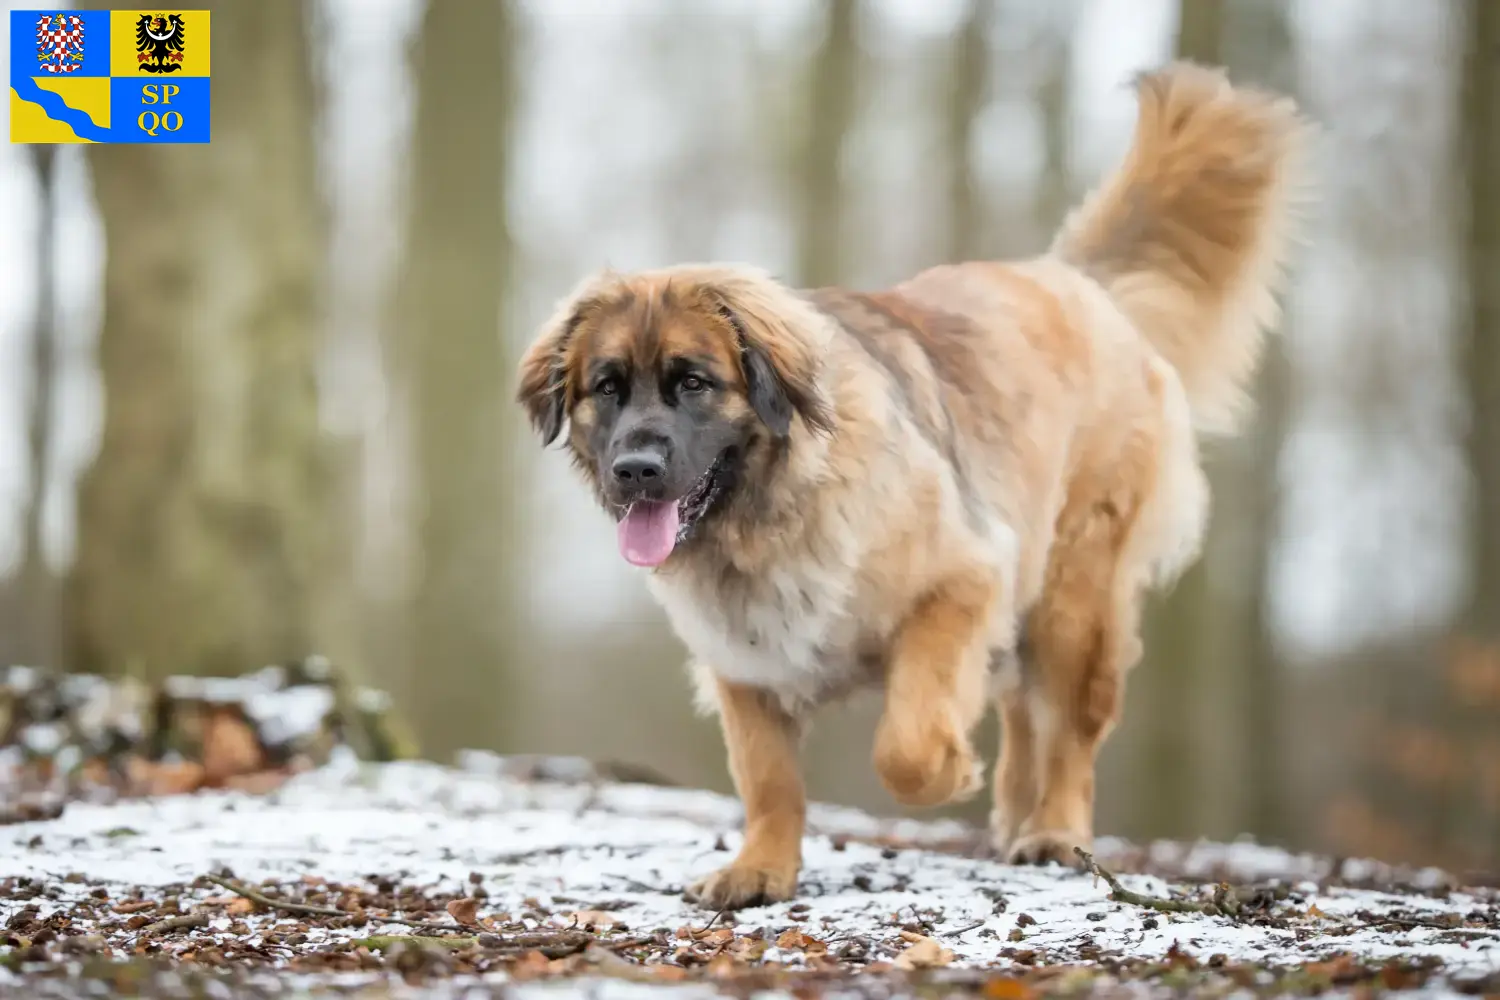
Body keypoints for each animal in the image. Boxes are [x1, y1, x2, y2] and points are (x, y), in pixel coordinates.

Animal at [519, 60, 1314, 905]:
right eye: (607, 387)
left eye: (693, 383)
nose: (635, 469)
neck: (772, 516)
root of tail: (1071, 280)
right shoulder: (742, 662)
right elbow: (768, 778)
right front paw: (760, 867)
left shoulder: (958, 584)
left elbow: (905, 744)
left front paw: (949, 768)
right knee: (1025, 710)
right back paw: (1017, 821)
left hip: (1076, 595)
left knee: (1069, 728)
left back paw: (1055, 831)